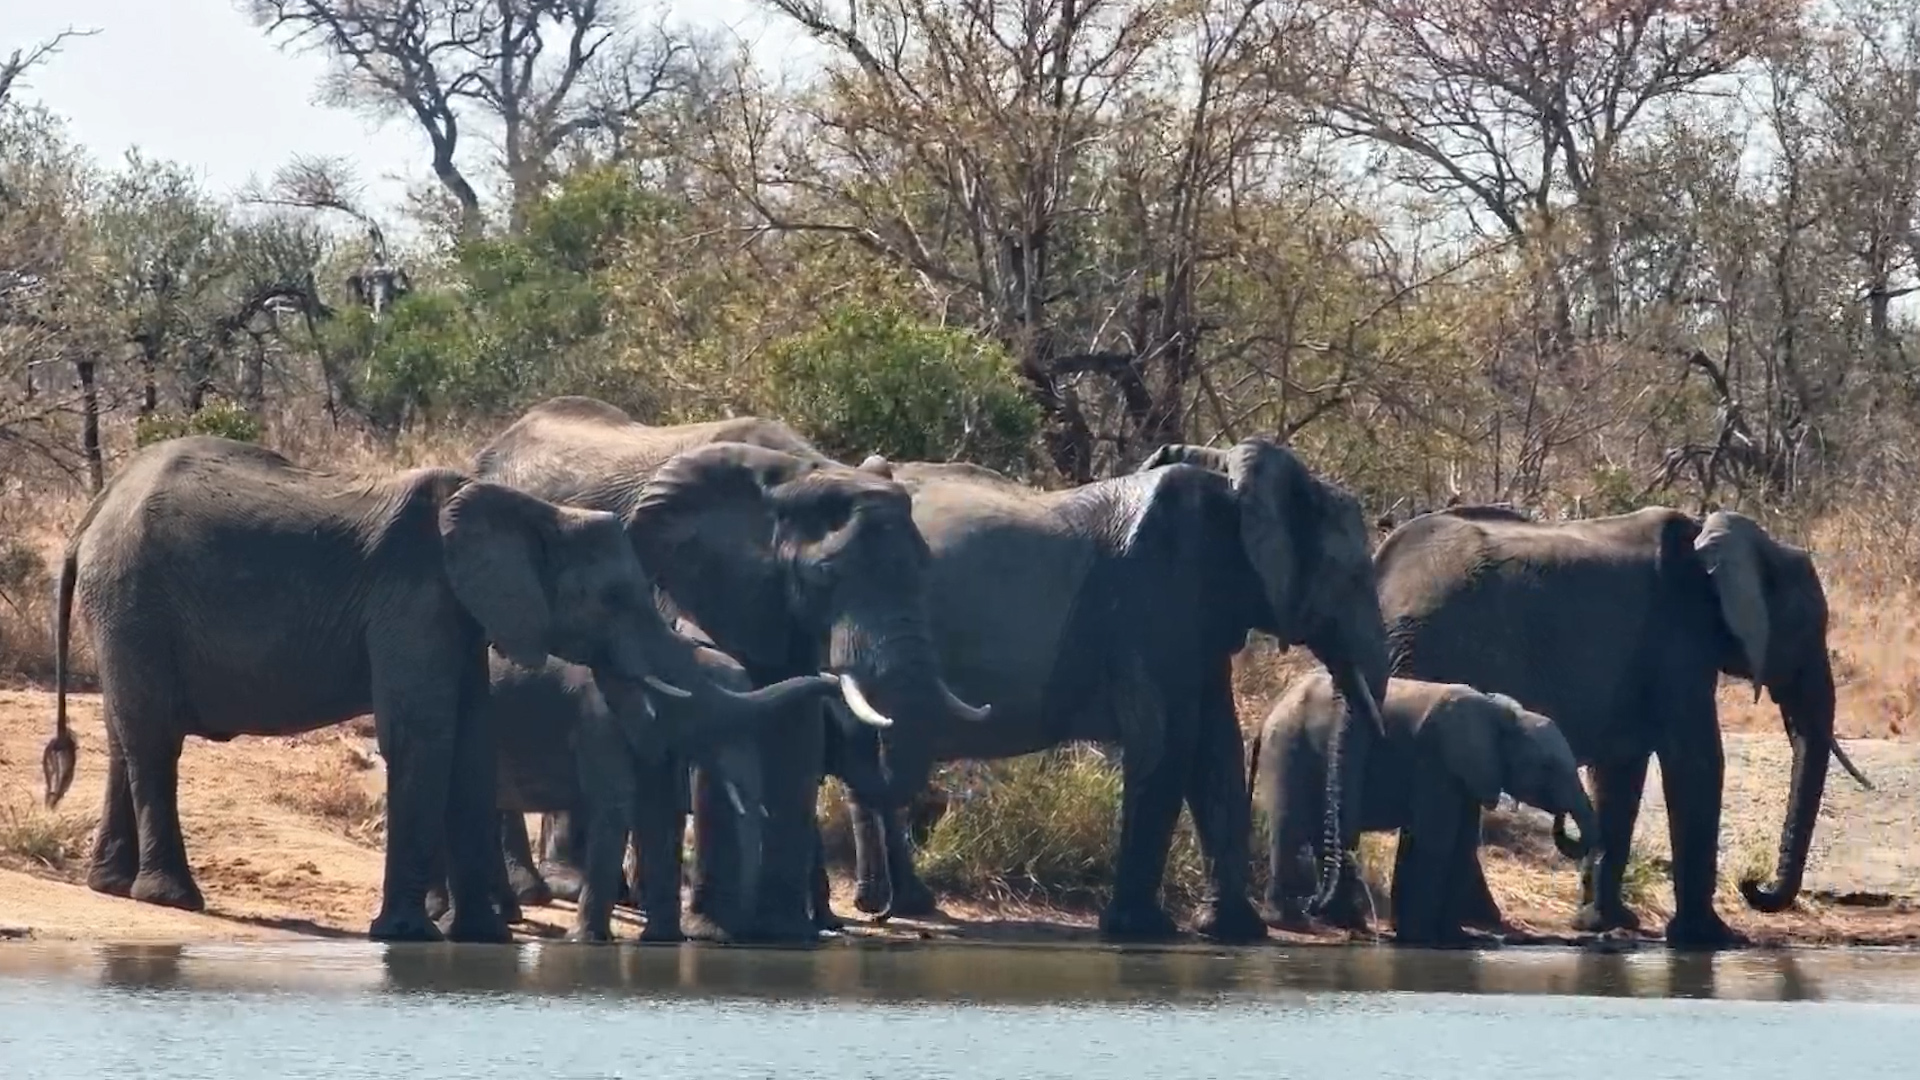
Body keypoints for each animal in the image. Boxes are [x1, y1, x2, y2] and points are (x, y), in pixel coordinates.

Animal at [35, 434, 747, 943]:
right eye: (616, 598)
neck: (533, 513)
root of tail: (90, 517)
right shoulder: (415, 596)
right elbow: (421, 734)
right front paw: (407, 936)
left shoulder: (460, 613)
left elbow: (471, 742)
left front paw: (481, 939)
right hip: (134, 595)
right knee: (154, 739)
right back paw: (172, 898)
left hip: (124, 608)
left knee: (126, 732)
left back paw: (110, 885)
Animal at [468, 397, 990, 941]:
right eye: (826, 574)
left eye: (925, 568)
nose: (881, 913)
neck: (800, 474)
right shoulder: (688, 578)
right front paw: (715, 935)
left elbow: (794, 729)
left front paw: (784, 935)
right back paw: (530, 897)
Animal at [834, 438, 1391, 942]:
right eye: (1355, 577)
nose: (1326, 911)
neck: (1231, 485)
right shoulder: (1156, 597)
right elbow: (1170, 744)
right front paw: (1142, 931)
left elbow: (1217, 751)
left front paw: (1233, 933)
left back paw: (897, 905)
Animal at [1250, 672, 1598, 944]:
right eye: (1548, 767)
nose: (1561, 818)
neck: (1502, 715)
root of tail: (1270, 711)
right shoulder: (1437, 757)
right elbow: (1437, 839)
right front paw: (1423, 937)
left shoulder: (1467, 772)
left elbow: (1460, 842)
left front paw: (1452, 937)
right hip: (1288, 749)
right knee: (1290, 828)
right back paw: (1293, 921)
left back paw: (1341, 921)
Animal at [1371, 504, 1870, 948]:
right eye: (1808, 628)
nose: (1752, 884)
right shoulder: (1678, 638)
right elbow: (1696, 762)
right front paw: (1712, 939)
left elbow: (1620, 773)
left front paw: (1606, 923)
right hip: (1439, 651)